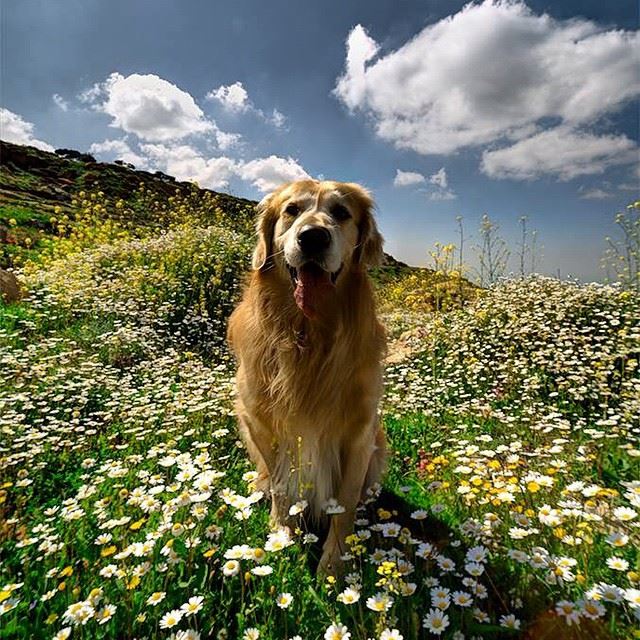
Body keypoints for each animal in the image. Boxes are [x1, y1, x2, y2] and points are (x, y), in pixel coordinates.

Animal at [228, 180, 388, 576]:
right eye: (292, 210)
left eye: (342, 213)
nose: (313, 237)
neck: (308, 335)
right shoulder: (258, 420)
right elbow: (283, 486)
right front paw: (284, 535)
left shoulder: (360, 433)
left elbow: (344, 507)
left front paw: (333, 567)